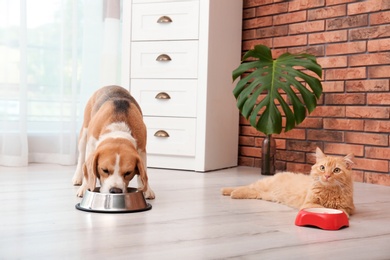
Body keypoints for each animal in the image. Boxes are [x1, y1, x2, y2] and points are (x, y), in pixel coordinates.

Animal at [221, 147, 354, 216]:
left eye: (336, 170)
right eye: (322, 168)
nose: (326, 176)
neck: (329, 191)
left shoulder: (349, 207)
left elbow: (342, 210)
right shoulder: (308, 203)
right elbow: (320, 207)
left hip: (262, 194)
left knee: (250, 190)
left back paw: (233, 193)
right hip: (263, 184)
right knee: (247, 186)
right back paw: (226, 191)